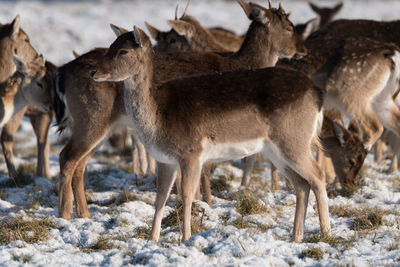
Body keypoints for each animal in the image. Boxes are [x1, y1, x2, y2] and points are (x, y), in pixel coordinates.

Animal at [90, 26, 332, 244]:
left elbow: (186, 195)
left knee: (318, 176)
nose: (93, 72)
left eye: (123, 51)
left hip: (294, 139)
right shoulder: (165, 159)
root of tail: (317, 95)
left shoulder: (192, 153)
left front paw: (186, 237)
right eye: (110, 46)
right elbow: (160, 198)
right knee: (301, 184)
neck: (158, 118)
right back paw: (296, 237)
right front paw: (152, 239)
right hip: (276, 149)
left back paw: (326, 232)